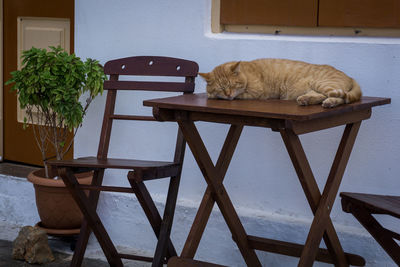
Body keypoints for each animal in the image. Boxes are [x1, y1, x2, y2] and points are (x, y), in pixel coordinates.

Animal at [200, 59, 362, 108]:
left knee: (341, 97)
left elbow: (240, 96)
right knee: (326, 97)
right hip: (315, 89)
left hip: (324, 84)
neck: (246, 73)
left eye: (232, 85)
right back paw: (307, 100)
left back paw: (330, 102)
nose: (228, 94)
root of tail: (350, 76)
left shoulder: (256, 92)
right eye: (221, 89)